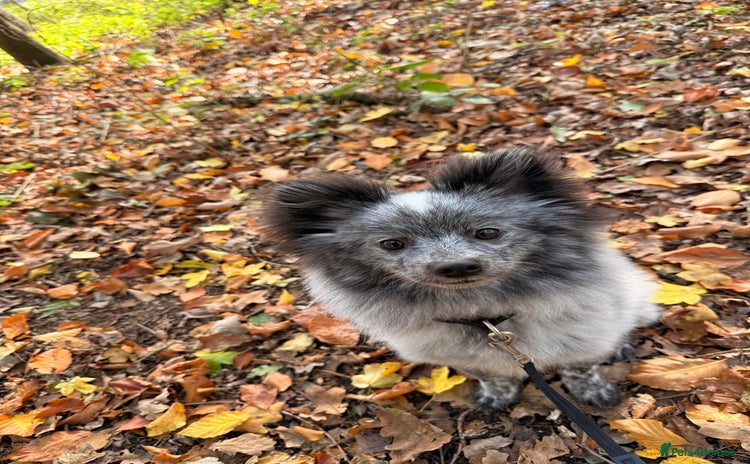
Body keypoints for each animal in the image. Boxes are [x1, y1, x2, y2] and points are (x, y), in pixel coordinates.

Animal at [261, 147, 659, 410]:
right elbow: (492, 375)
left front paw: (592, 390)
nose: (455, 267)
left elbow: (580, 368)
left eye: (487, 233)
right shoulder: (460, 356)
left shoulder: (582, 337)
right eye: (392, 243)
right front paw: (497, 395)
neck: (485, 316)